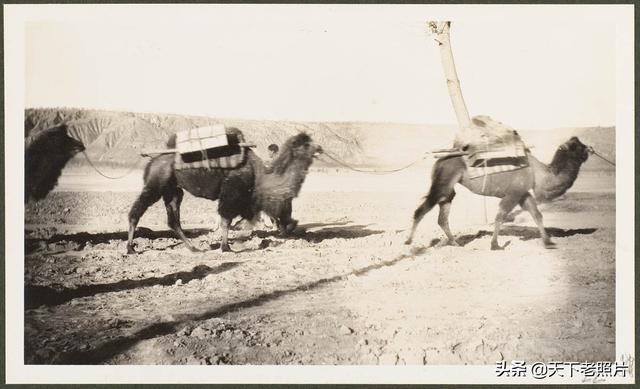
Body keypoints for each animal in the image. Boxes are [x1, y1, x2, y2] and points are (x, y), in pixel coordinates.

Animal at [127, 129, 322, 253]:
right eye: (306, 144)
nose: (320, 148)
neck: (259, 174)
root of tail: (152, 161)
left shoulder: (244, 200)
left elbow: (241, 219)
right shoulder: (232, 192)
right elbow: (226, 220)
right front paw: (226, 247)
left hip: (173, 190)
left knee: (173, 220)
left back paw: (193, 248)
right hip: (156, 183)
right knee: (137, 211)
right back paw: (130, 248)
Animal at [408, 136, 592, 249]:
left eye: (579, 143)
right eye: (576, 147)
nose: (590, 148)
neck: (539, 173)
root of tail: (439, 160)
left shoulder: (523, 194)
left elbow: (537, 215)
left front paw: (548, 242)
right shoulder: (513, 193)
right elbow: (500, 216)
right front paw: (495, 245)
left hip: (448, 188)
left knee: (443, 216)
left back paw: (455, 243)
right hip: (443, 181)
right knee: (422, 209)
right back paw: (409, 241)